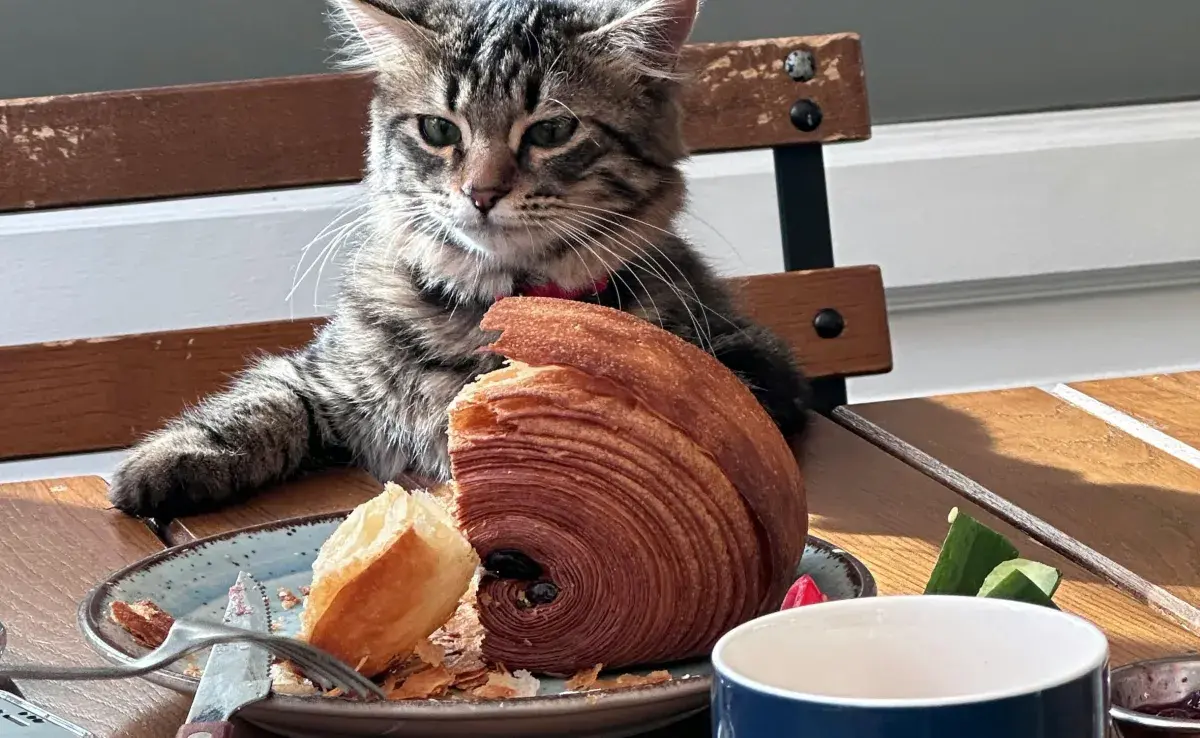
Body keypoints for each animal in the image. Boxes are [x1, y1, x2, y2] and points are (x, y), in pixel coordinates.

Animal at [108, 0, 811, 520]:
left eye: (552, 131)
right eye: (440, 130)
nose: (481, 192)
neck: (492, 310)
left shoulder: (750, 362)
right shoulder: (318, 372)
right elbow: (254, 407)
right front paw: (163, 463)